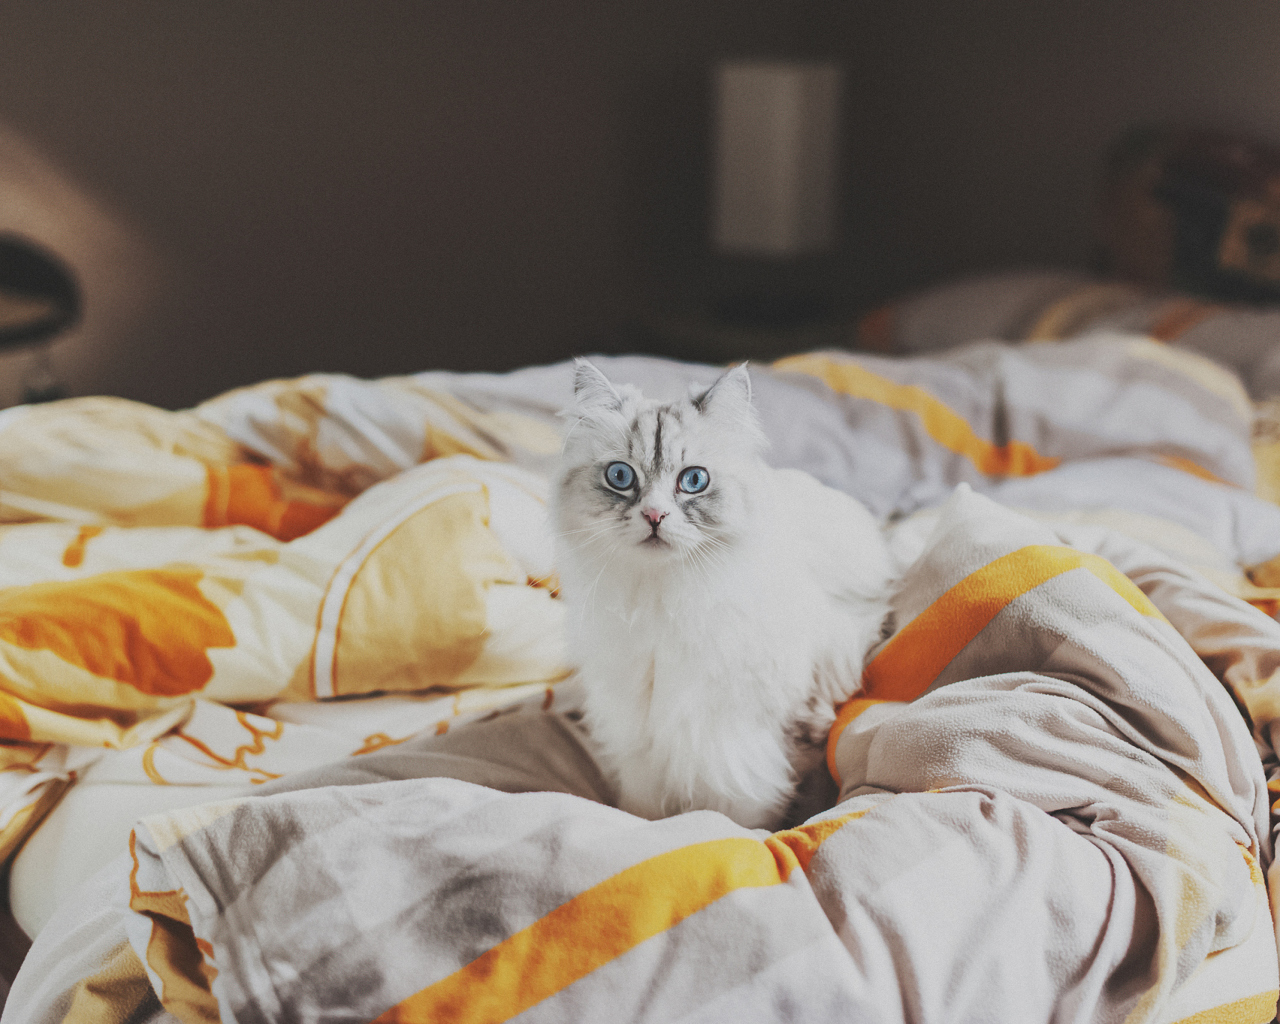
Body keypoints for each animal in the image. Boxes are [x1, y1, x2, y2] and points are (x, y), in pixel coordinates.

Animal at [555, 360, 896, 829]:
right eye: (620, 477)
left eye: (693, 480)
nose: (654, 516)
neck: (665, 602)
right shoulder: (639, 735)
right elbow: (642, 807)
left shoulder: (736, 744)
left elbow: (743, 815)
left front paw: (751, 835)